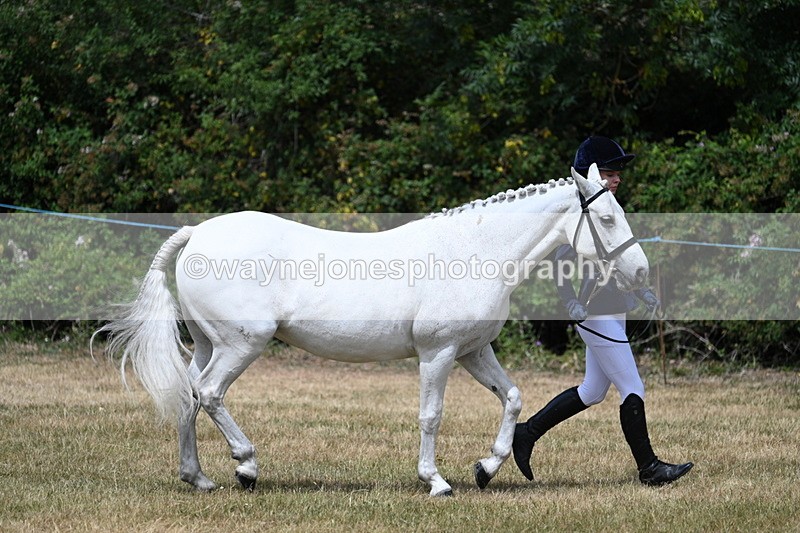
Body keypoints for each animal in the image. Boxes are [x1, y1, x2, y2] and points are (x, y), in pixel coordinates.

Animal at [96, 165, 649, 497]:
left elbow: (512, 398)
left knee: (189, 395)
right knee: (209, 393)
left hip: (208, 343)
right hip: (240, 344)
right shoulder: (438, 353)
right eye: (605, 217)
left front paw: (486, 468)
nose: (641, 272)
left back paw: (199, 478)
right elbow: (431, 416)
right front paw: (436, 481)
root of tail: (198, 234)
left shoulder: (473, 351)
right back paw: (246, 466)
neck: (475, 253)